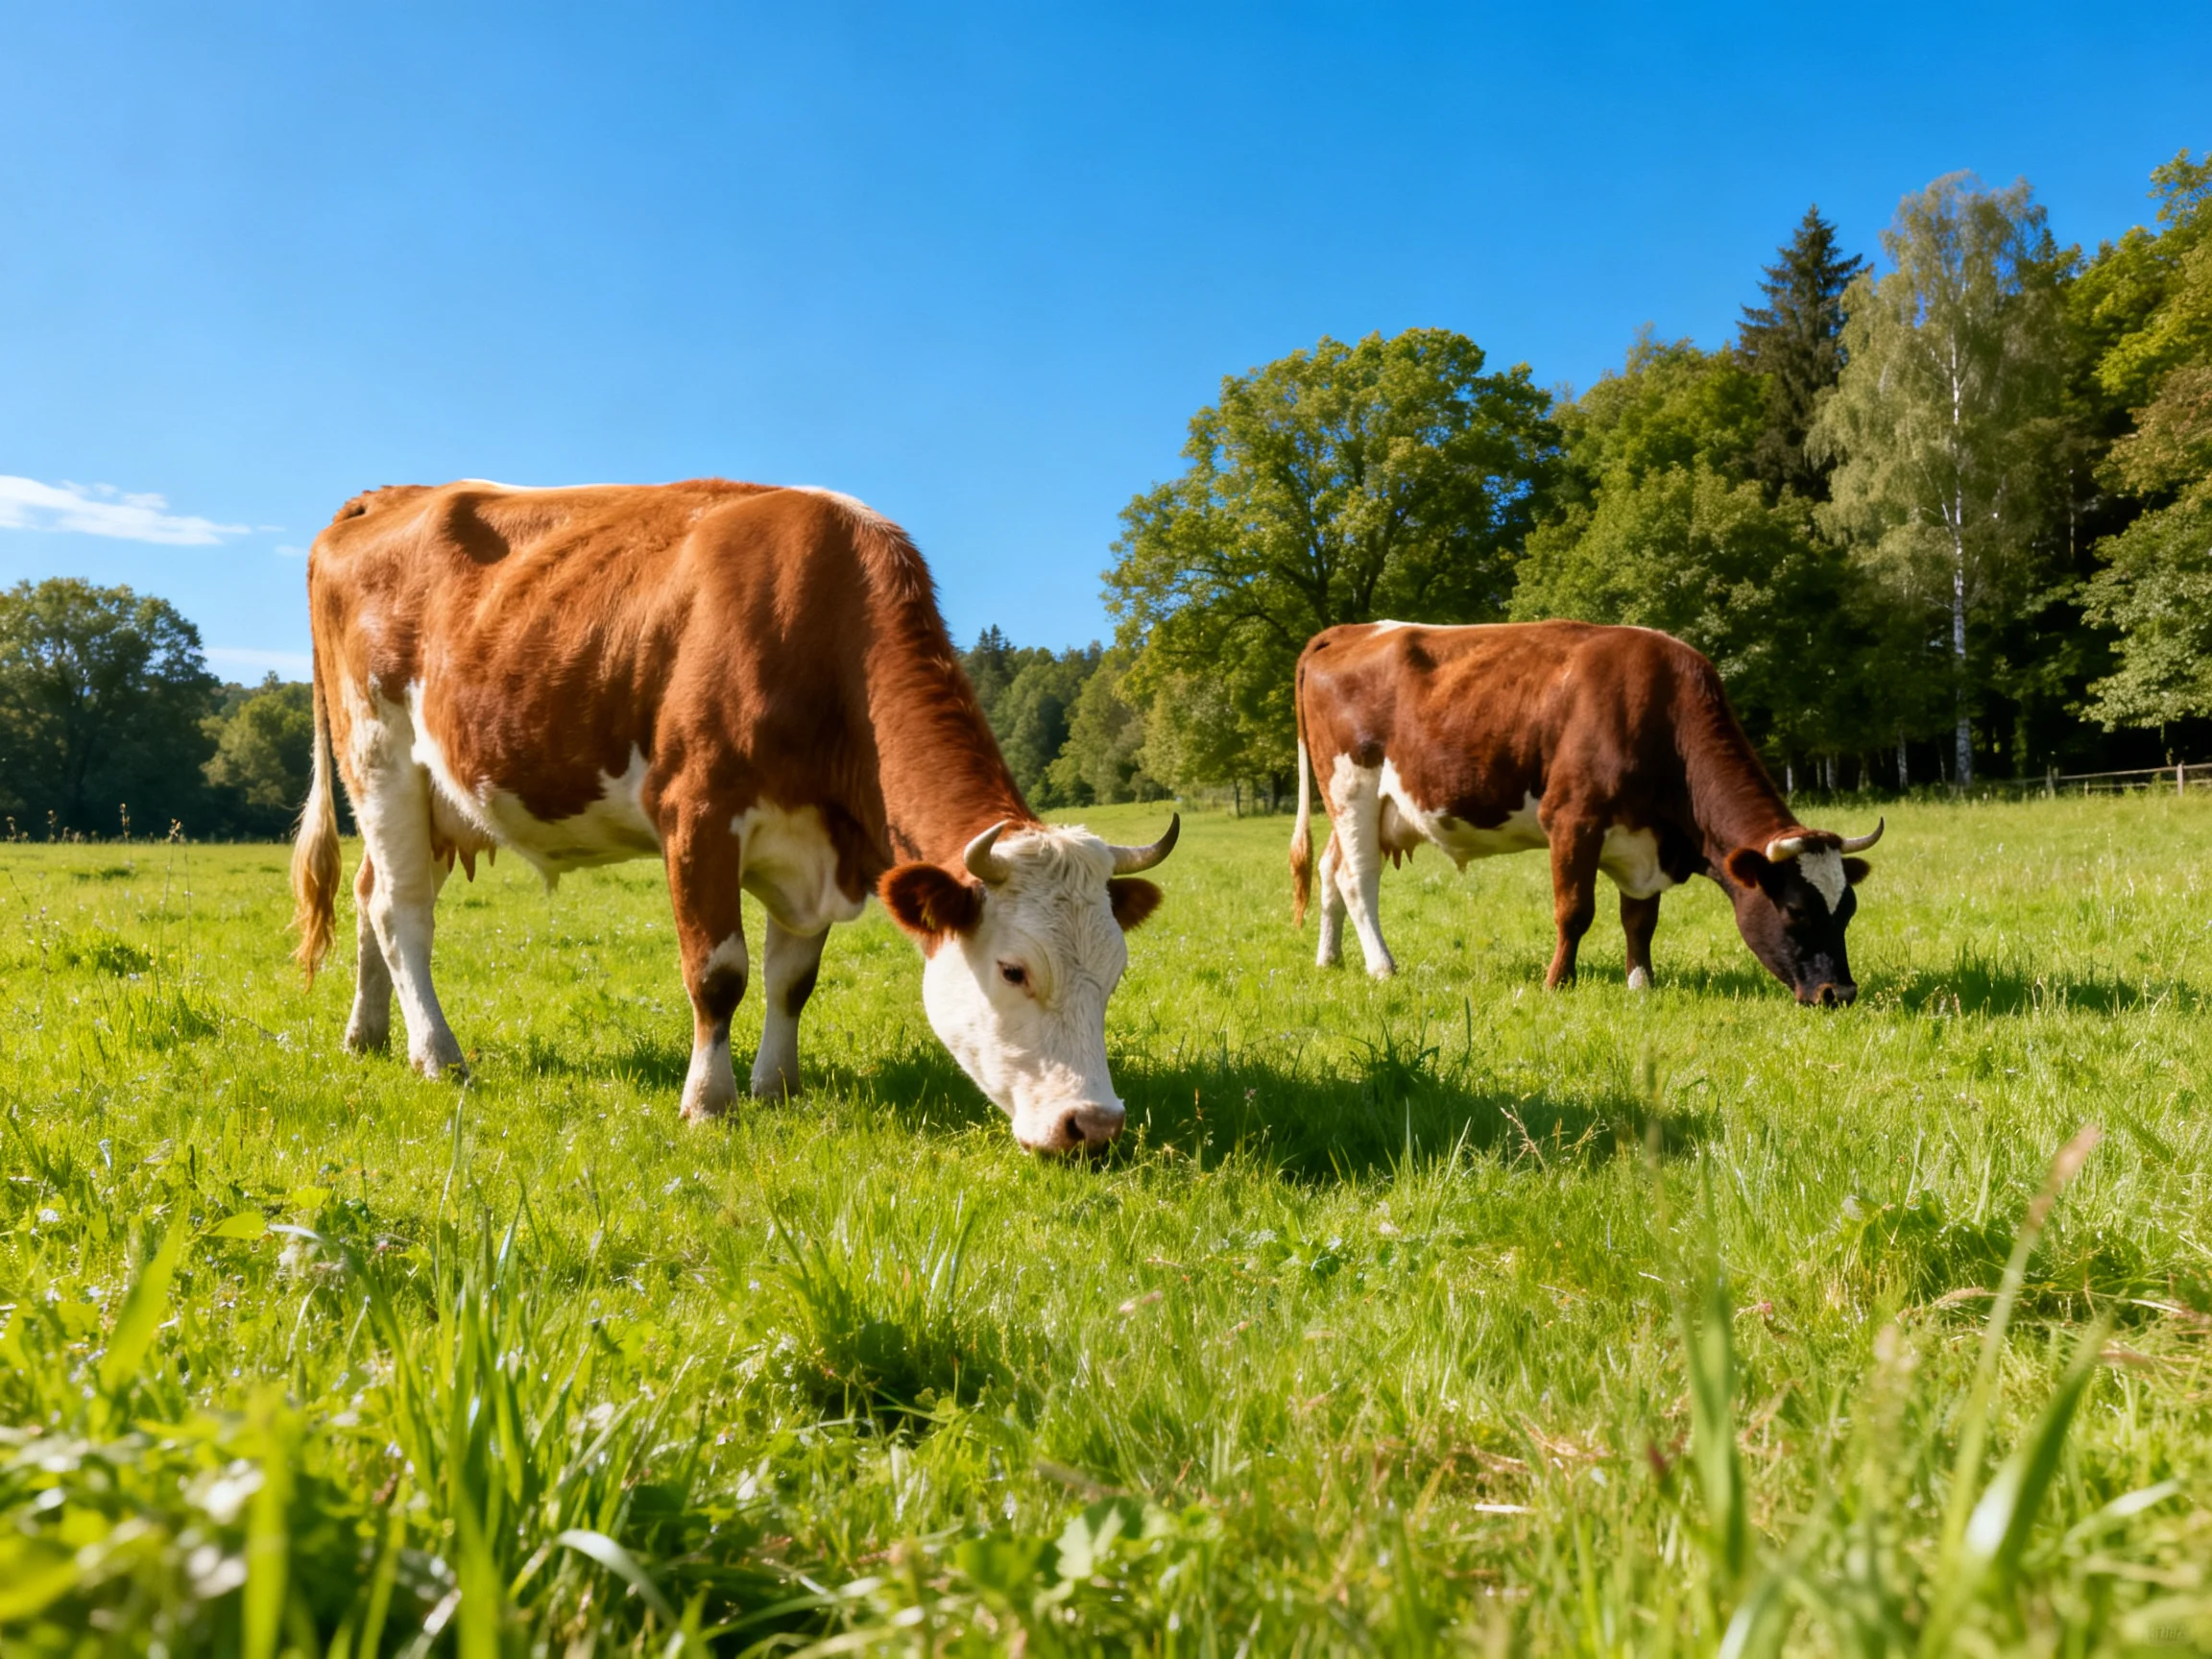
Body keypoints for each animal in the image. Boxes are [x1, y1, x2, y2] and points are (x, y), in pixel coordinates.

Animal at [288, 479, 1178, 1153]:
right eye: (1014, 970)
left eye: (1116, 973)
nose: (1094, 1126)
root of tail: (380, 498)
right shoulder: (698, 815)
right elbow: (719, 974)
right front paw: (708, 1102)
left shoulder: (820, 851)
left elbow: (793, 980)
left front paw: (777, 1087)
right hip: (379, 757)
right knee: (403, 914)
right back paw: (438, 1055)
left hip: (433, 798)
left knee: (369, 896)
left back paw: (368, 1036)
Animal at [1287, 620, 1882, 1005]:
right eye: (1796, 911)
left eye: (1849, 909)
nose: (1841, 992)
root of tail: (1350, 630)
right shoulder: (1573, 821)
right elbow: (1574, 911)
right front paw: (1557, 984)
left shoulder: (1644, 841)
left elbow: (1641, 920)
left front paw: (1641, 984)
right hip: (1351, 788)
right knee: (1357, 879)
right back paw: (1382, 967)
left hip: (1364, 809)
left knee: (1329, 873)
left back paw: (1329, 959)